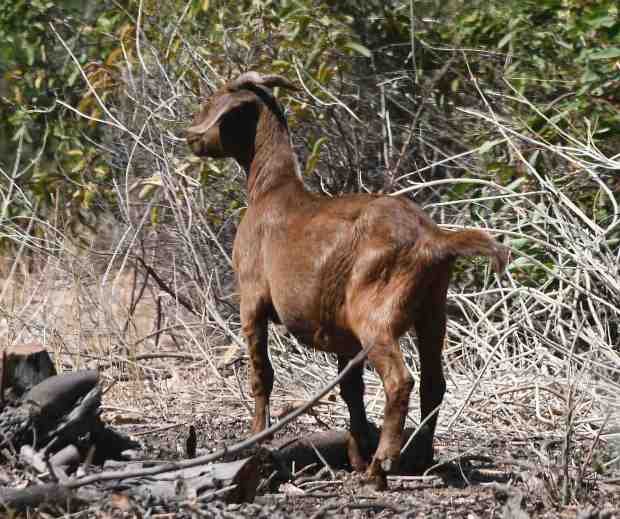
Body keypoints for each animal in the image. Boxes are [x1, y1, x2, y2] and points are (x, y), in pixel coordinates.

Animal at [185, 71, 508, 490]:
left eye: (213, 101)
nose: (191, 137)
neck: (272, 190)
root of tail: (434, 239)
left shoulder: (252, 298)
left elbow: (262, 375)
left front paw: (256, 440)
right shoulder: (341, 333)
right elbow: (350, 390)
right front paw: (356, 453)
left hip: (375, 316)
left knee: (400, 381)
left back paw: (381, 467)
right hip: (432, 312)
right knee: (434, 383)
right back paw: (418, 458)